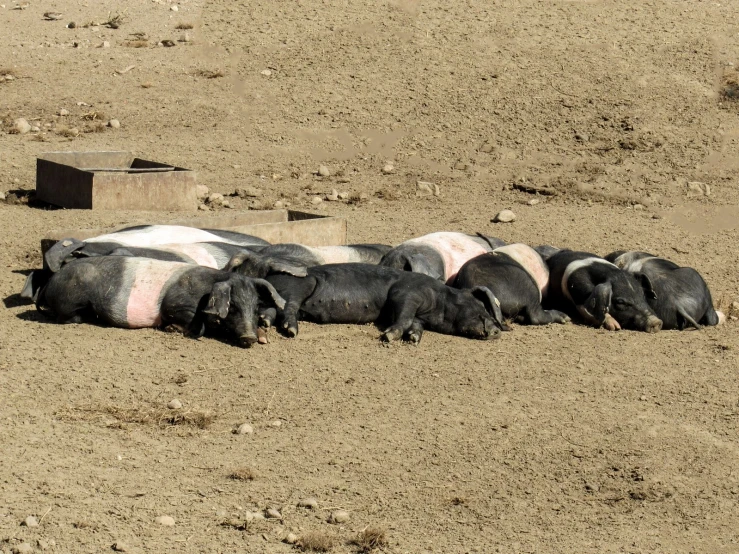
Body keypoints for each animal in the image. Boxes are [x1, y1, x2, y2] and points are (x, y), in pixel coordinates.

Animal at [36, 254, 288, 344]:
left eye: (256, 307)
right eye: (232, 307)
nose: (249, 337)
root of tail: (50, 282)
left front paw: (264, 337)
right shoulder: (174, 303)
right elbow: (196, 326)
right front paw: (174, 329)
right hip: (72, 299)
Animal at [258, 262, 506, 342]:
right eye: (481, 308)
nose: (497, 330)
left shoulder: (420, 316)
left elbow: (414, 324)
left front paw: (413, 339)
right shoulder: (406, 293)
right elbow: (404, 316)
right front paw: (389, 336)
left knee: (274, 308)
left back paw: (264, 322)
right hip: (302, 283)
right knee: (288, 306)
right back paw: (291, 331)